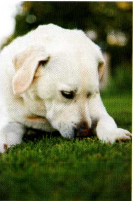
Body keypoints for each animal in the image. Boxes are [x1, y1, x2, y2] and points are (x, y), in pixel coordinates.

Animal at [0, 24, 131, 152]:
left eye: (90, 95)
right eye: (67, 94)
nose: (84, 132)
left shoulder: (97, 109)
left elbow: (106, 120)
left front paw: (114, 133)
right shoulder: (13, 121)